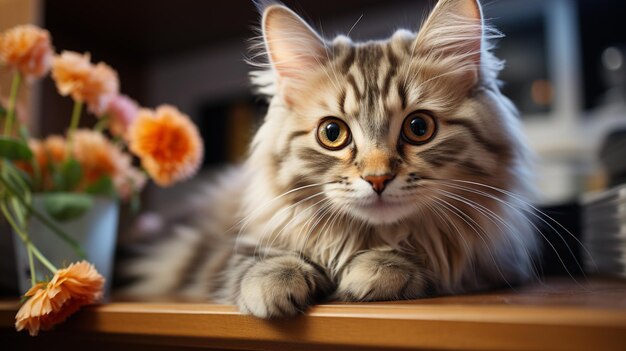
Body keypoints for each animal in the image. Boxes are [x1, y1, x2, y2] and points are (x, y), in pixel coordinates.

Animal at [122, 0, 536, 320]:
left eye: (419, 127)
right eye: (332, 133)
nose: (377, 178)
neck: (367, 237)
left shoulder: (491, 260)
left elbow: (422, 258)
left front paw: (374, 272)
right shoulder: (225, 251)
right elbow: (254, 260)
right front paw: (275, 281)